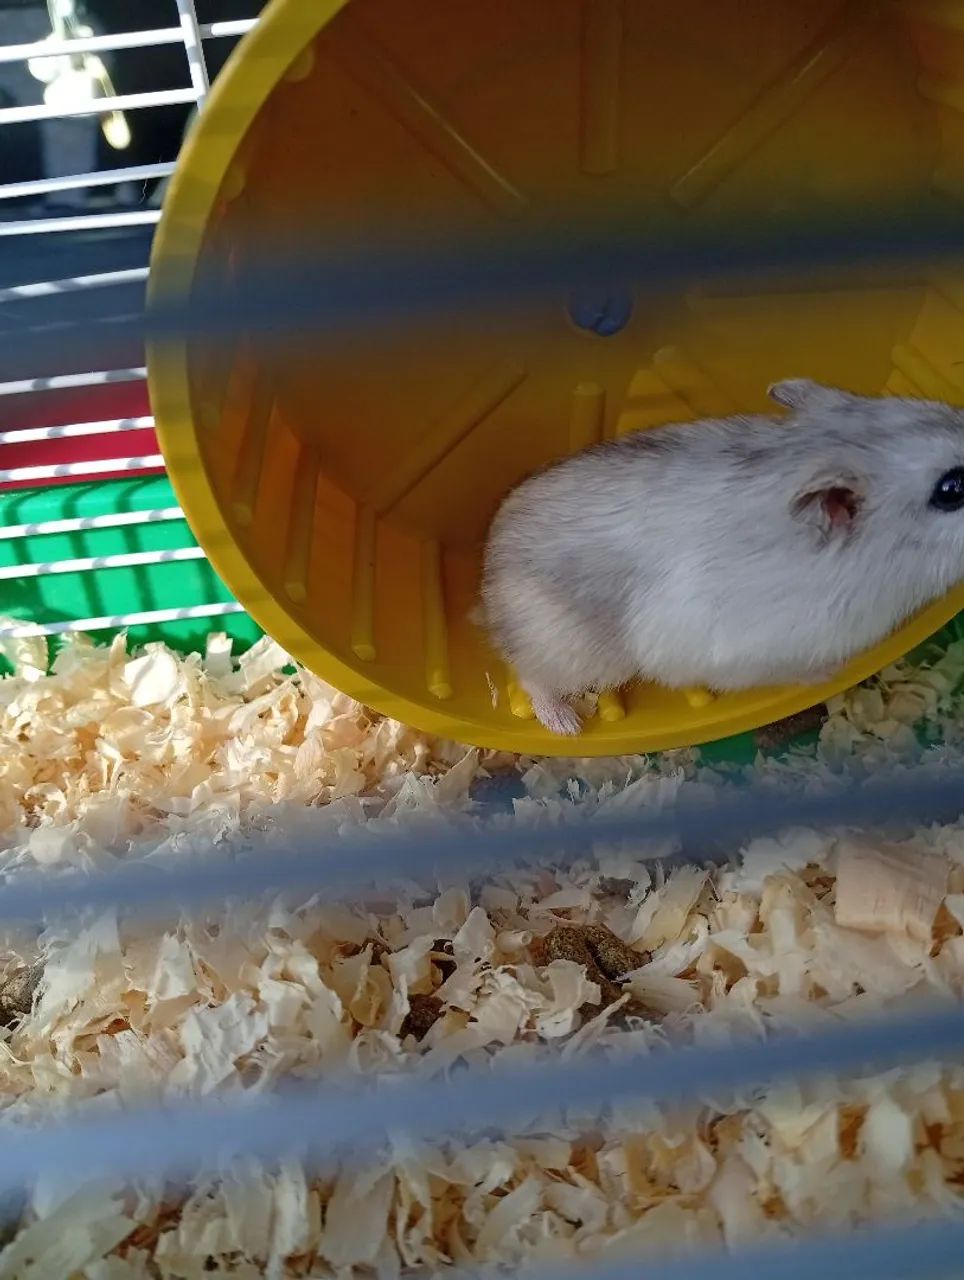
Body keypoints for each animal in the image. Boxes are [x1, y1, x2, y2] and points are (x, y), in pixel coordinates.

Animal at [479, 378, 964, 735]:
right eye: (951, 489)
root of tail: (487, 574)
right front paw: (829, 673)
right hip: (572, 650)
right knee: (531, 675)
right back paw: (566, 724)